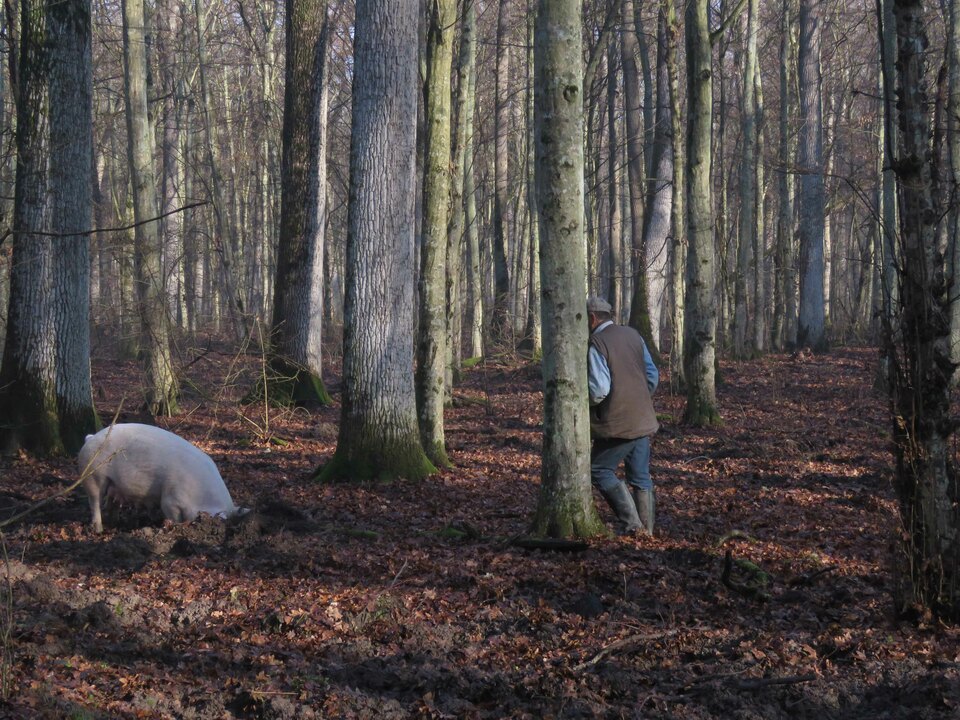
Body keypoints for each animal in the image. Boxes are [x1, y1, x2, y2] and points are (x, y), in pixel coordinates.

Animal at [79, 422, 244, 536]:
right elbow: (173, 515)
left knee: (112, 504)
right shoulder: (171, 499)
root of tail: (90, 438)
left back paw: (115, 524)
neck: (200, 494)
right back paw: (99, 530)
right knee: (94, 503)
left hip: (113, 484)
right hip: (93, 476)